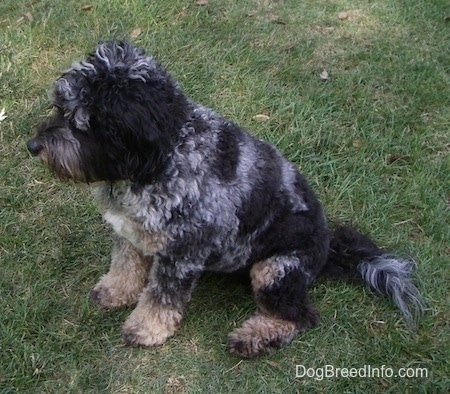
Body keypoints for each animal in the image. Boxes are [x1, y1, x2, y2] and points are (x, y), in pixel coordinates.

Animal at [29, 40, 426, 358]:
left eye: (82, 123)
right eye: (60, 108)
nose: (33, 146)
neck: (165, 155)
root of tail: (328, 249)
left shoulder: (182, 252)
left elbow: (161, 297)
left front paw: (144, 329)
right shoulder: (132, 233)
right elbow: (125, 265)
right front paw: (115, 291)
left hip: (275, 269)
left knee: (301, 316)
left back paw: (253, 338)